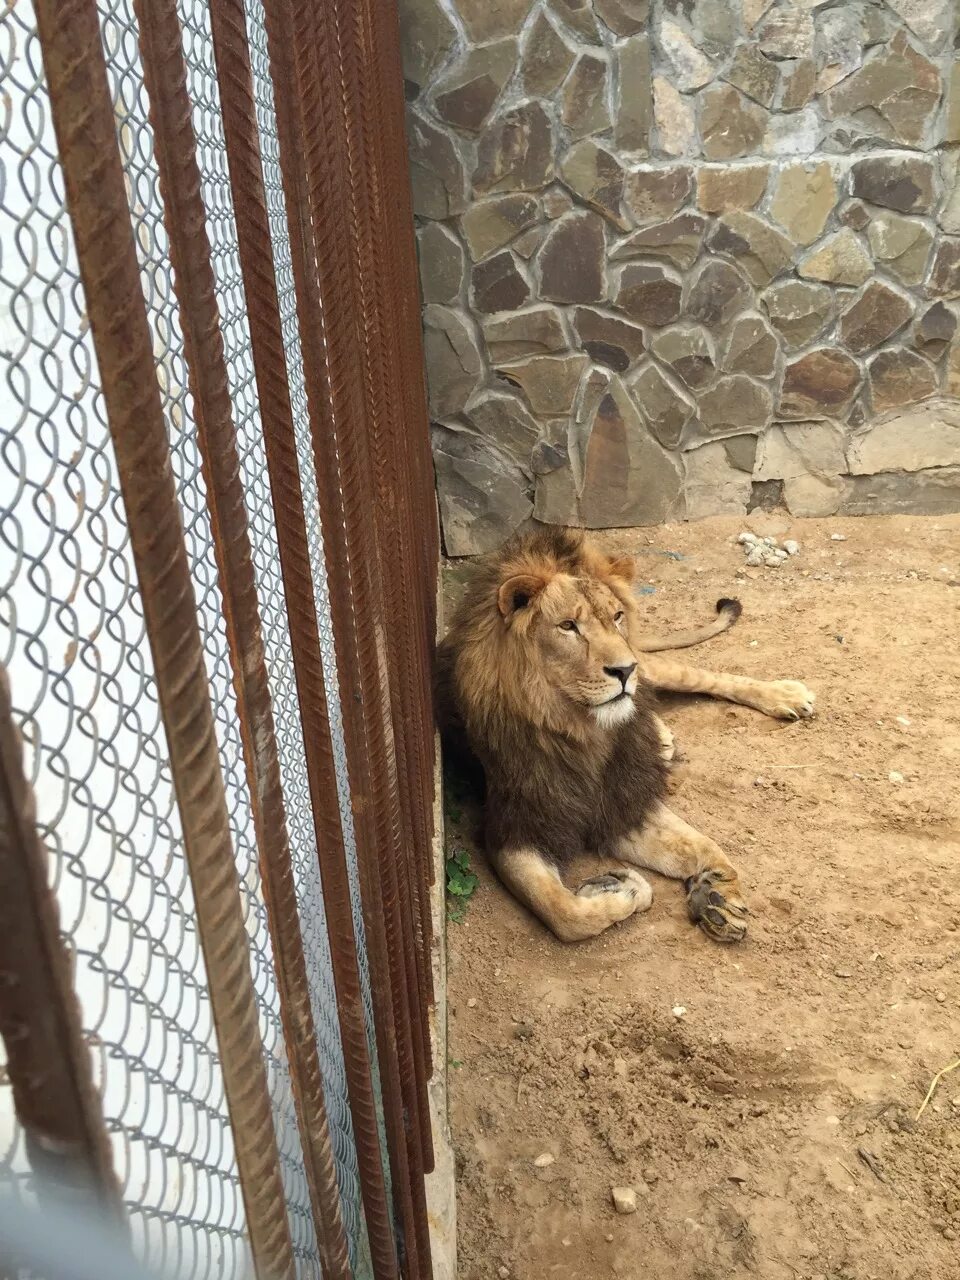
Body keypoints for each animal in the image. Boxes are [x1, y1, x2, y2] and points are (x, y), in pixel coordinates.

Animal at [437, 524, 819, 947]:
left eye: (617, 616)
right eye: (568, 626)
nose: (624, 670)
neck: (582, 732)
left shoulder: (621, 796)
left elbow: (702, 842)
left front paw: (717, 892)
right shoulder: (515, 825)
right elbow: (562, 909)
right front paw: (621, 888)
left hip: (654, 668)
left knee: (705, 677)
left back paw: (784, 695)